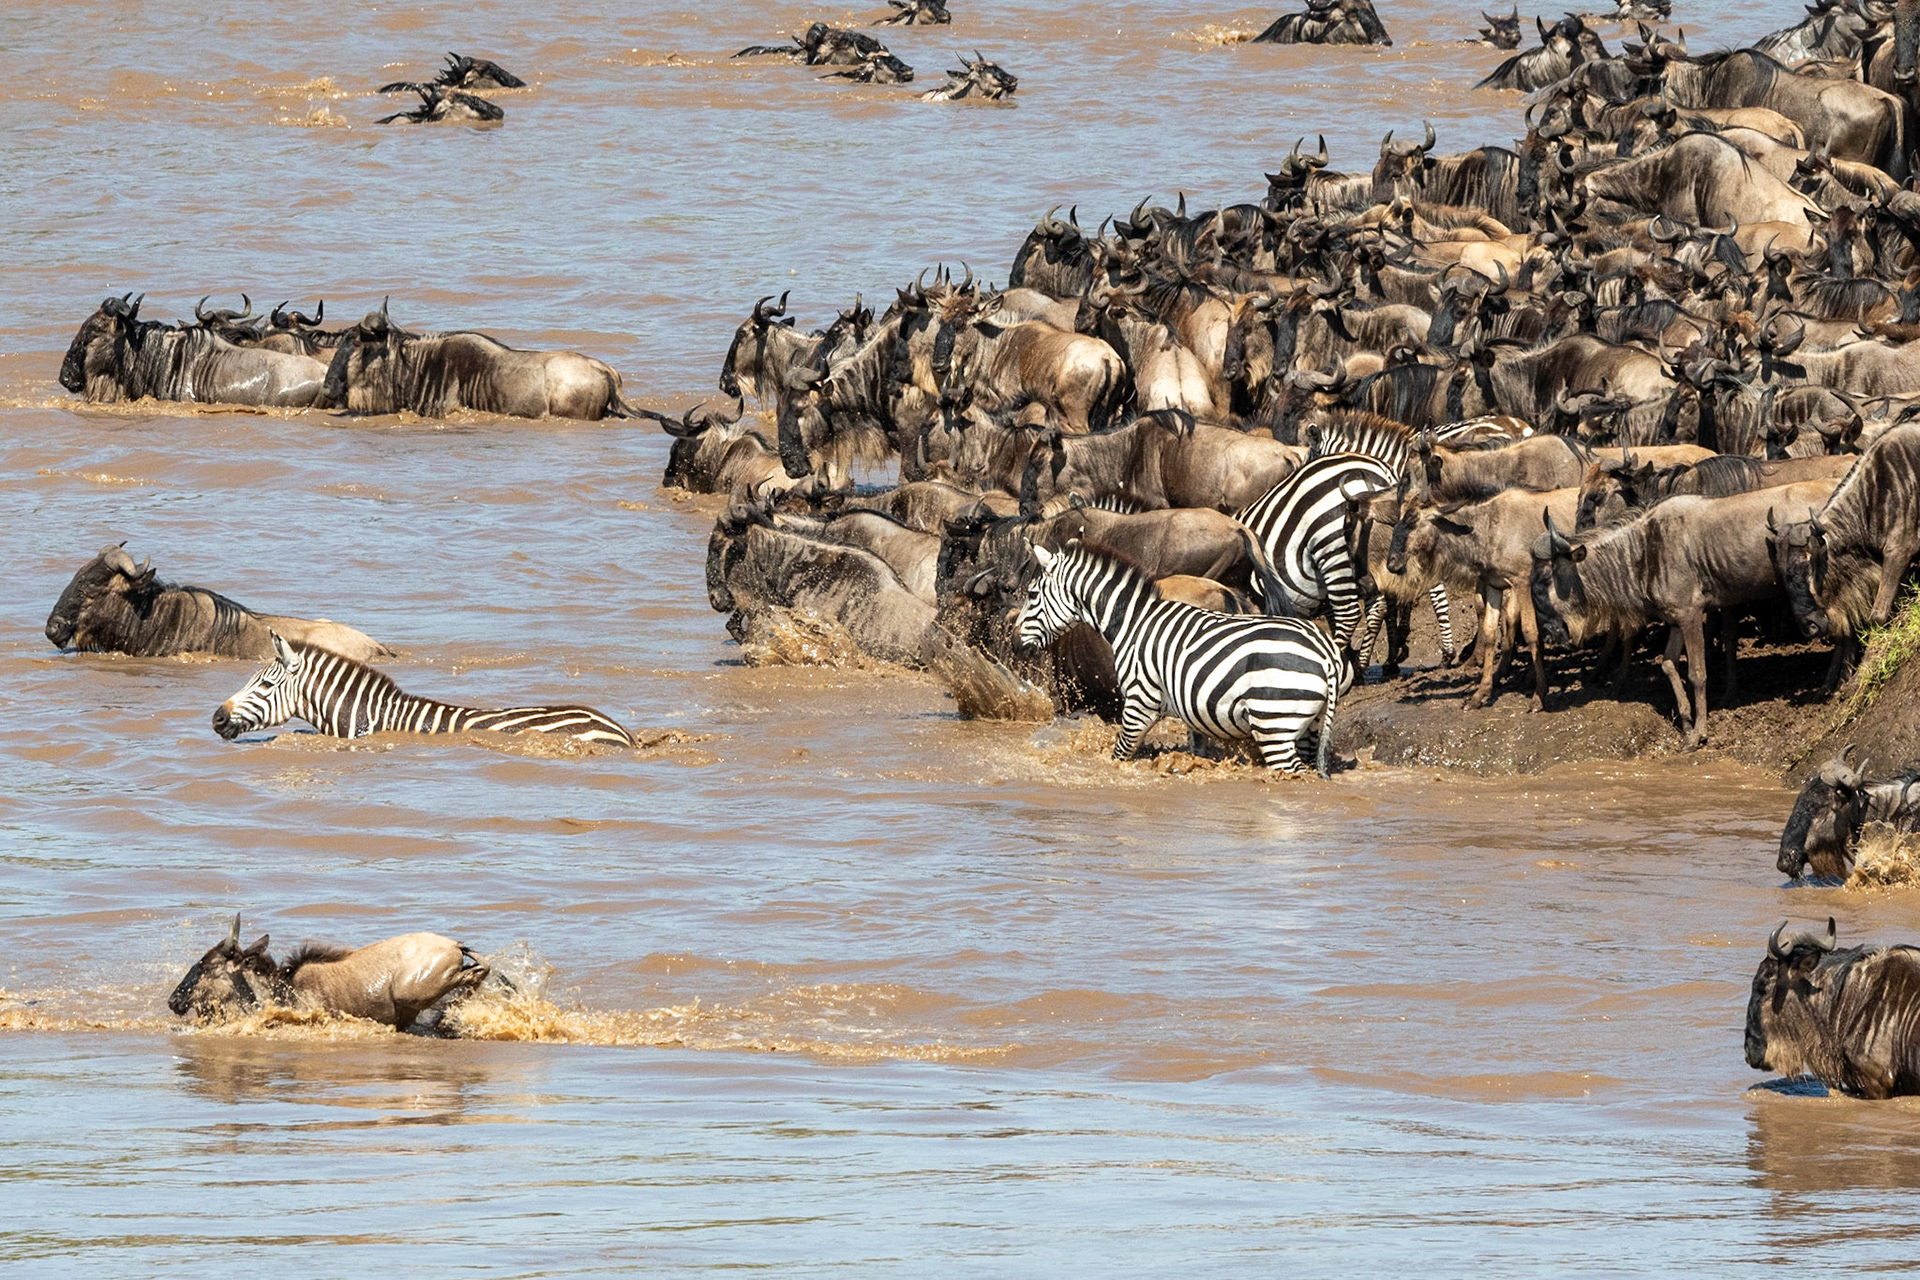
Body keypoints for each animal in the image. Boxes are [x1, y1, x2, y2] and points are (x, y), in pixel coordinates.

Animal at [1017, 542, 1351, 775]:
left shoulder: (1140, 702)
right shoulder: (1196, 709)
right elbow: (1197, 751)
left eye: (1031, 595)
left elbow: (1120, 754)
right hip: (1309, 724)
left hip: (1274, 723)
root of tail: (1326, 655)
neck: (1132, 622)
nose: (1015, 641)